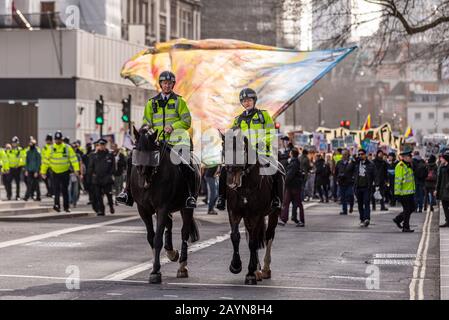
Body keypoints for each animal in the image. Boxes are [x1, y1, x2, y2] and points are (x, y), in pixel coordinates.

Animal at [130, 126, 199, 284]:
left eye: (153, 151)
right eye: (136, 149)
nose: (143, 180)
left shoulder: (162, 208)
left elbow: (157, 239)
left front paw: (155, 271)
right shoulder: (143, 210)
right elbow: (151, 237)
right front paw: (156, 266)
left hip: (186, 207)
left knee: (184, 232)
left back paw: (182, 266)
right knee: (169, 227)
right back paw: (171, 252)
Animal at [221, 129, 282, 284]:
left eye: (242, 149)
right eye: (224, 148)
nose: (232, 180)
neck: (245, 187)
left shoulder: (256, 215)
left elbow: (254, 242)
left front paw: (250, 273)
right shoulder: (234, 212)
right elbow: (236, 236)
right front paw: (236, 265)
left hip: (273, 214)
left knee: (268, 236)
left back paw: (264, 269)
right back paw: (257, 270)